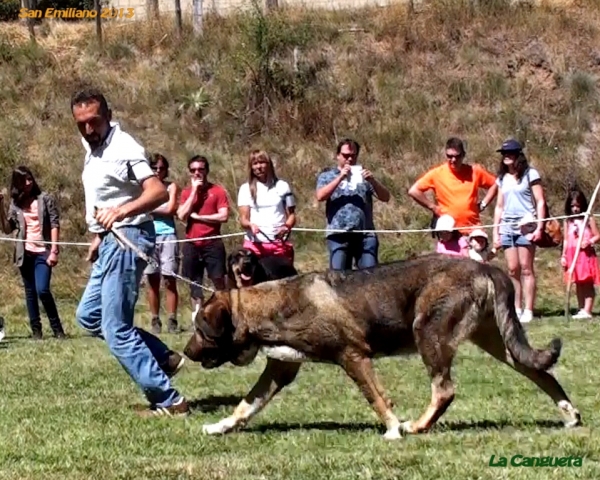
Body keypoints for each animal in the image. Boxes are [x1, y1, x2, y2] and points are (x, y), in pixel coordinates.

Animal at [184, 255, 580, 438]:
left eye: (201, 329)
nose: (185, 354)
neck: (269, 307)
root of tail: (486, 267)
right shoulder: (281, 368)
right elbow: (245, 405)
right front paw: (219, 427)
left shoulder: (354, 356)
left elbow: (376, 398)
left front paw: (392, 429)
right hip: (499, 343)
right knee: (542, 372)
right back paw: (570, 415)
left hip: (428, 333)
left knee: (444, 390)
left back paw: (416, 426)